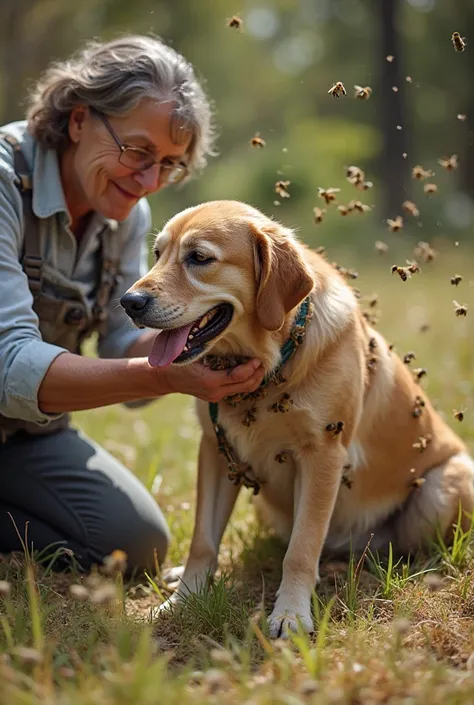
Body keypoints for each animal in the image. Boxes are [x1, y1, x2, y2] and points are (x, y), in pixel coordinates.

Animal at [120, 199, 474, 640]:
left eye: (199, 258)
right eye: (157, 254)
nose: (128, 302)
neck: (272, 358)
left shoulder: (322, 454)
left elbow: (302, 550)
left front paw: (290, 614)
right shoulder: (217, 449)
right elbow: (203, 541)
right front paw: (182, 600)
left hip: (443, 487)